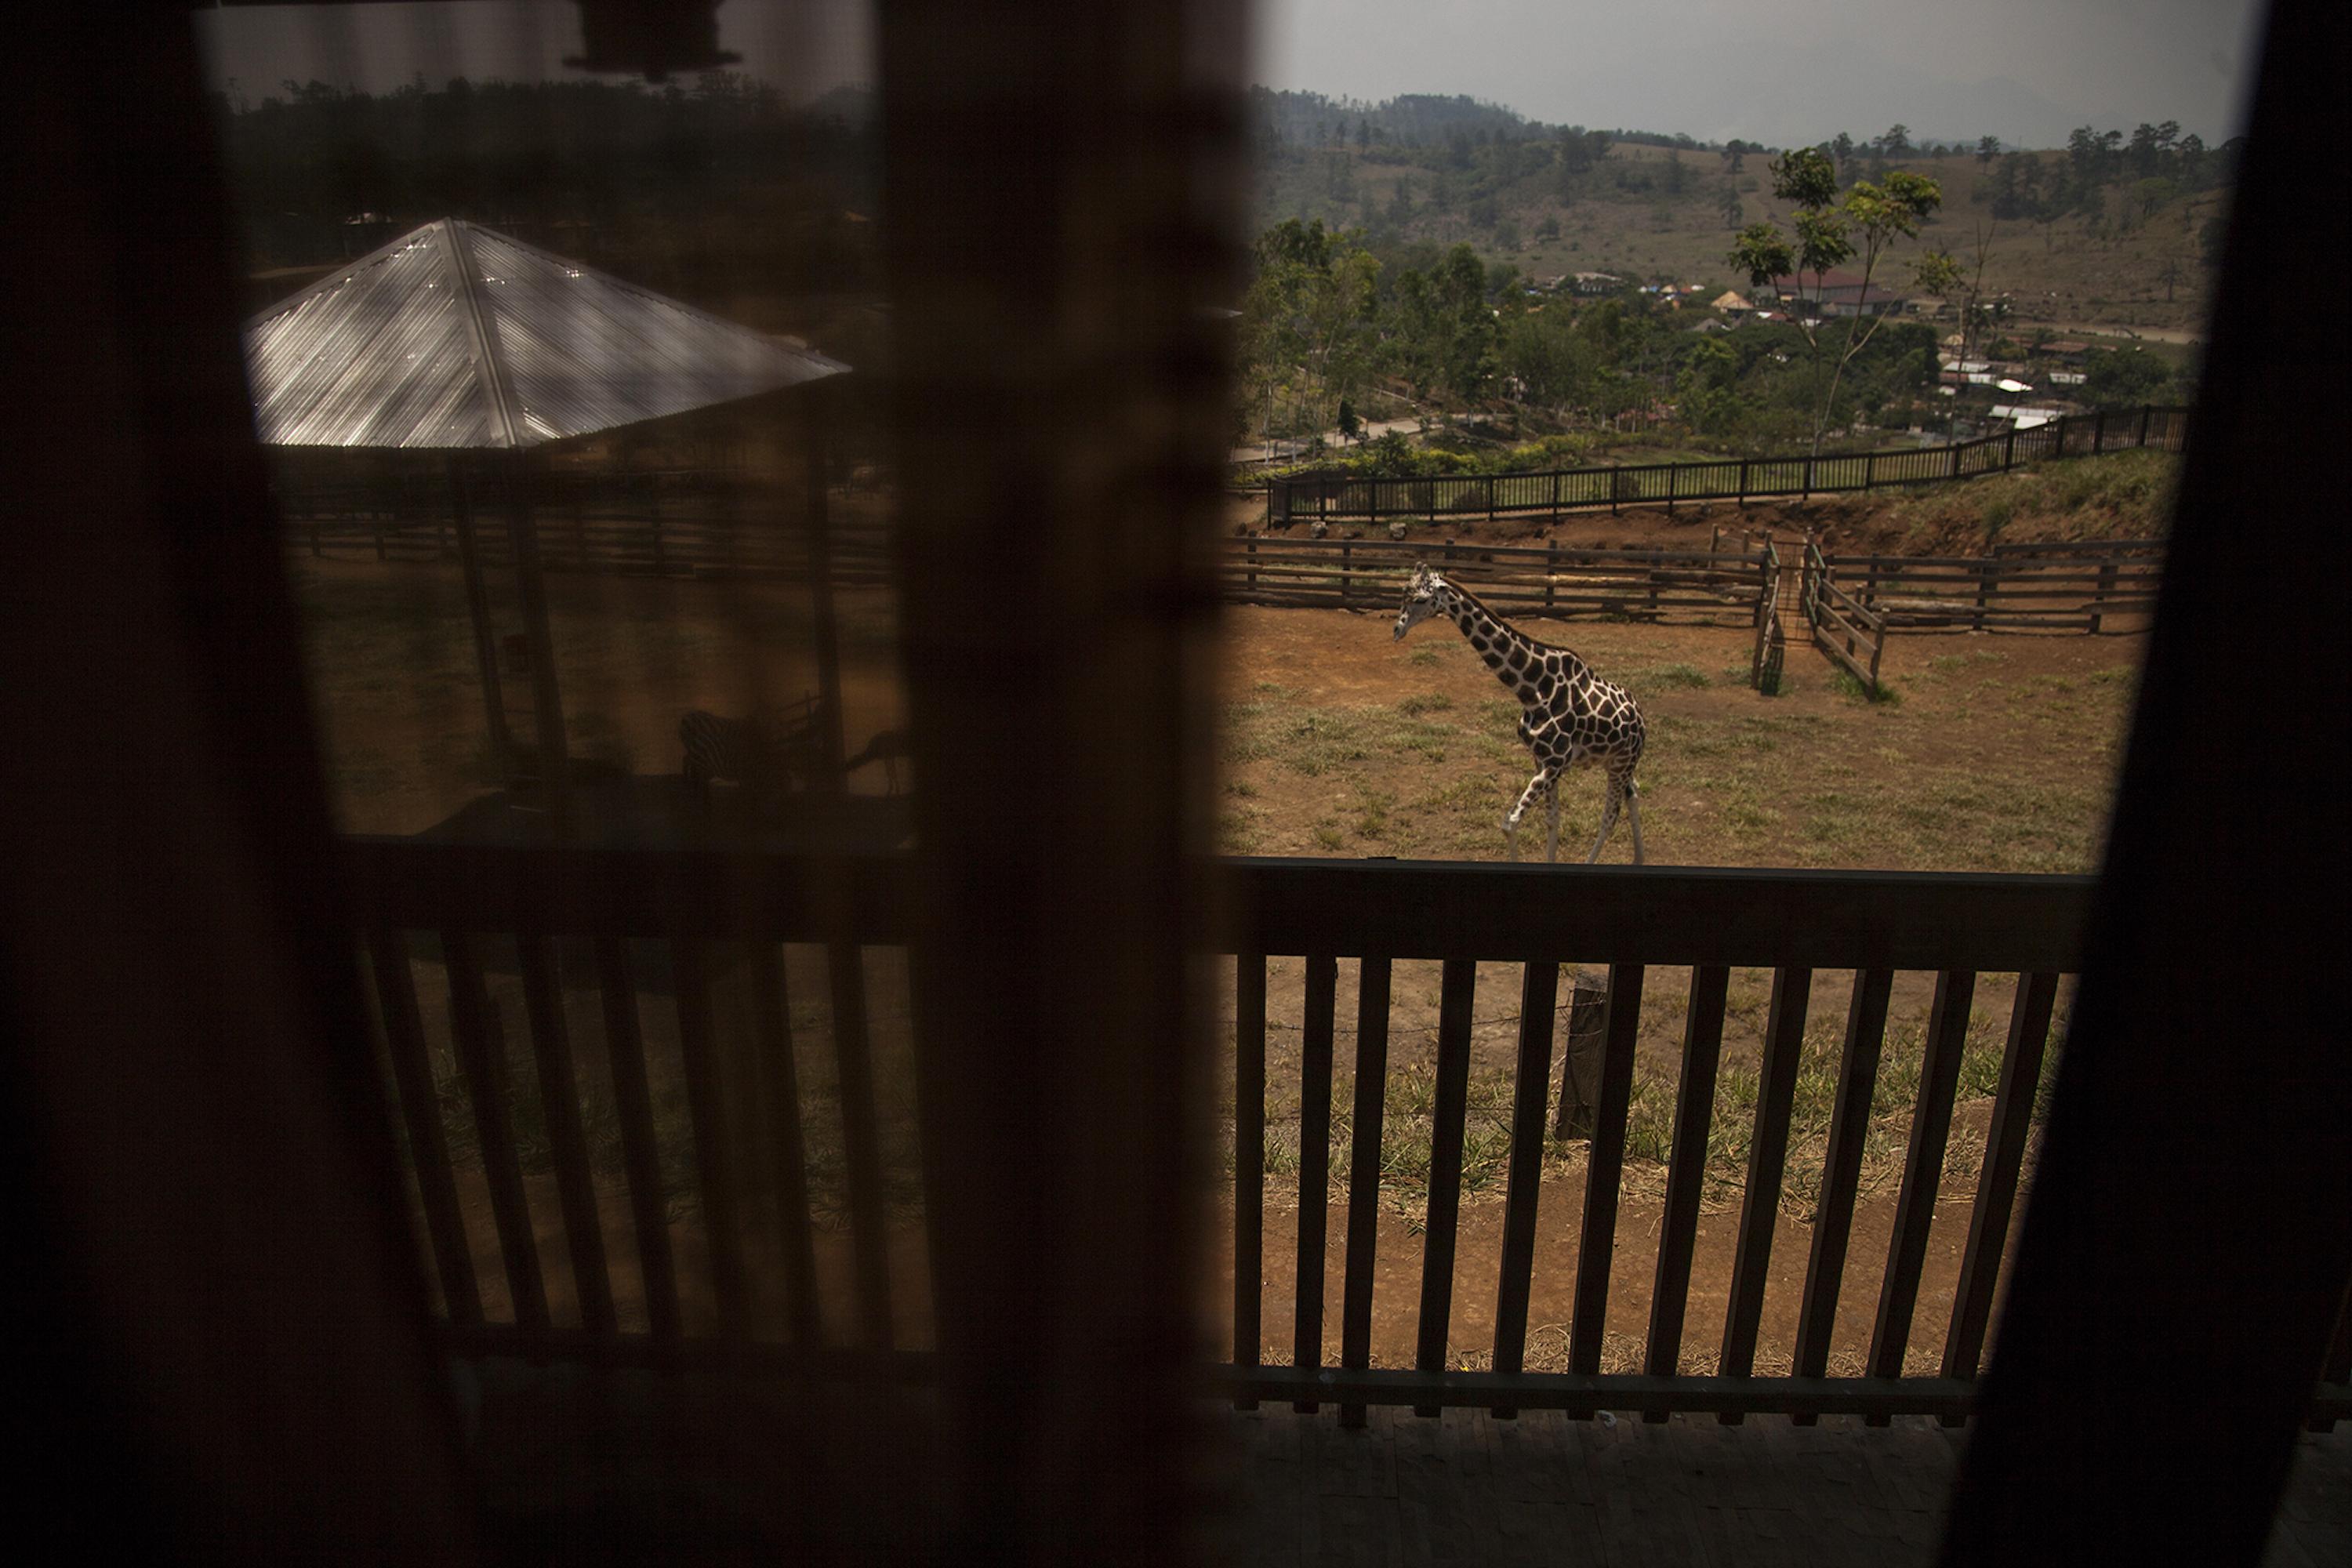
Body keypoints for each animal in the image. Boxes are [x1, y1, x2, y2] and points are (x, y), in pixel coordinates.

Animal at [1392, 564, 1656, 865]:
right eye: (1403, 594)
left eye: (1420, 599)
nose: (1397, 630)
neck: (1534, 689)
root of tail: (1641, 717)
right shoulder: (1542, 762)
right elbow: (1552, 820)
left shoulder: (1555, 763)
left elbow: (1510, 822)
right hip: (1615, 761)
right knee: (1633, 793)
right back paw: (1639, 859)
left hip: (1622, 763)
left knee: (1609, 820)